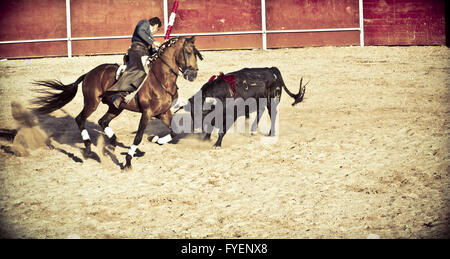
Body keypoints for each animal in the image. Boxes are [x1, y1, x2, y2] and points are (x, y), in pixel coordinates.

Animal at [34, 37, 203, 171]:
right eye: (188, 52)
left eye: (196, 54)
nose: (193, 75)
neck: (159, 78)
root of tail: (89, 73)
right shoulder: (147, 113)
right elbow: (138, 137)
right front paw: (128, 161)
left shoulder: (163, 112)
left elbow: (175, 131)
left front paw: (157, 140)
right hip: (92, 103)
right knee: (80, 119)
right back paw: (89, 149)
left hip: (116, 107)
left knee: (102, 121)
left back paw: (112, 142)